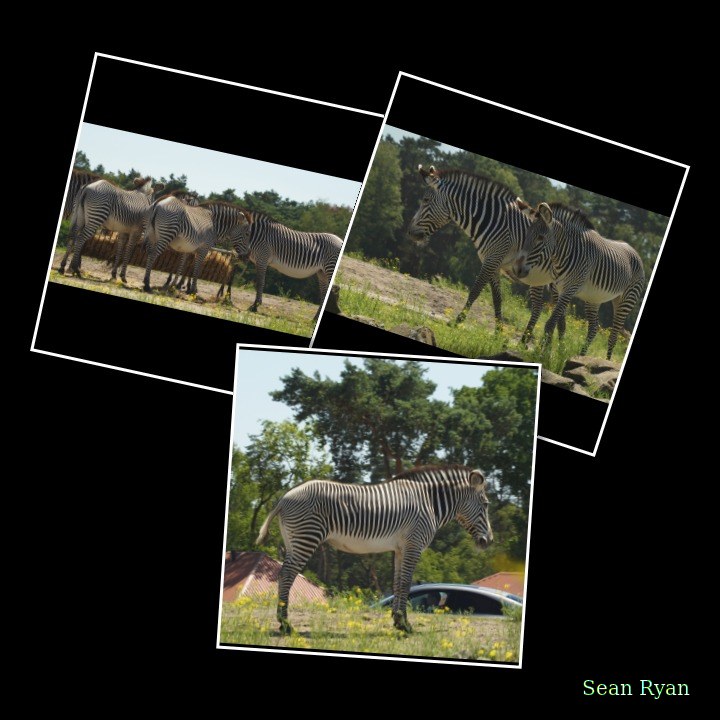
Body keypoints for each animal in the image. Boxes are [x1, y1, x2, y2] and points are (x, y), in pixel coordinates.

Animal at [203, 202, 343, 321]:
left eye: (248, 234)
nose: (246, 255)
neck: (256, 236)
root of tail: (340, 240)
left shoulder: (262, 259)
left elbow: (260, 283)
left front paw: (255, 306)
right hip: (322, 272)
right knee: (324, 293)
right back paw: (314, 319)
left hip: (329, 268)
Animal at [255, 464, 492, 634]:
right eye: (486, 504)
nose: (488, 541)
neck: (430, 503)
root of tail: (284, 498)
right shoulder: (413, 544)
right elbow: (406, 583)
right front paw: (405, 625)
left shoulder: (400, 548)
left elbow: (398, 583)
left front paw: (398, 621)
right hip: (306, 537)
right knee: (287, 575)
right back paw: (285, 624)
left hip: (293, 541)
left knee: (283, 574)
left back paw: (283, 622)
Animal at [407, 166, 558, 341]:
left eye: (425, 200)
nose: (410, 232)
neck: (493, 220)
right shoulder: (494, 262)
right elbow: (497, 298)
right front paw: (498, 332)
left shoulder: (492, 259)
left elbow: (475, 290)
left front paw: (458, 321)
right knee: (545, 309)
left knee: (541, 308)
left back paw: (530, 341)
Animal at [514, 202, 646, 359]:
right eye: (527, 234)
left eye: (540, 238)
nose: (517, 270)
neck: (563, 254)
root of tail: (635, 251)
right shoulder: (558, 288)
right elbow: (560, 323)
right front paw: (553, 352)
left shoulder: (569, 289)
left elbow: (550, 323)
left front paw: (541, 354)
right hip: (594, 297)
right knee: (594, 327)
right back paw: (582, 357)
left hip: (626, 300)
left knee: (613, 336)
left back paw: (606, 361)